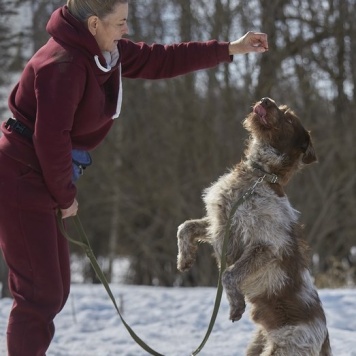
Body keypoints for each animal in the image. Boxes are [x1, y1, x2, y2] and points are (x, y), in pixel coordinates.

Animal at [177, 98, 330, 356]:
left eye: (289, 119)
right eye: (282, 108)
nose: (265, 100)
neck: (260, 175)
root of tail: (324, 338)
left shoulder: (265, 246)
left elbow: (229, 274)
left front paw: (236, 305)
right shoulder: (221, 224)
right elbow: (185, 227)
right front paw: (184, 259)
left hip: (284, 349)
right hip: (257, 345)